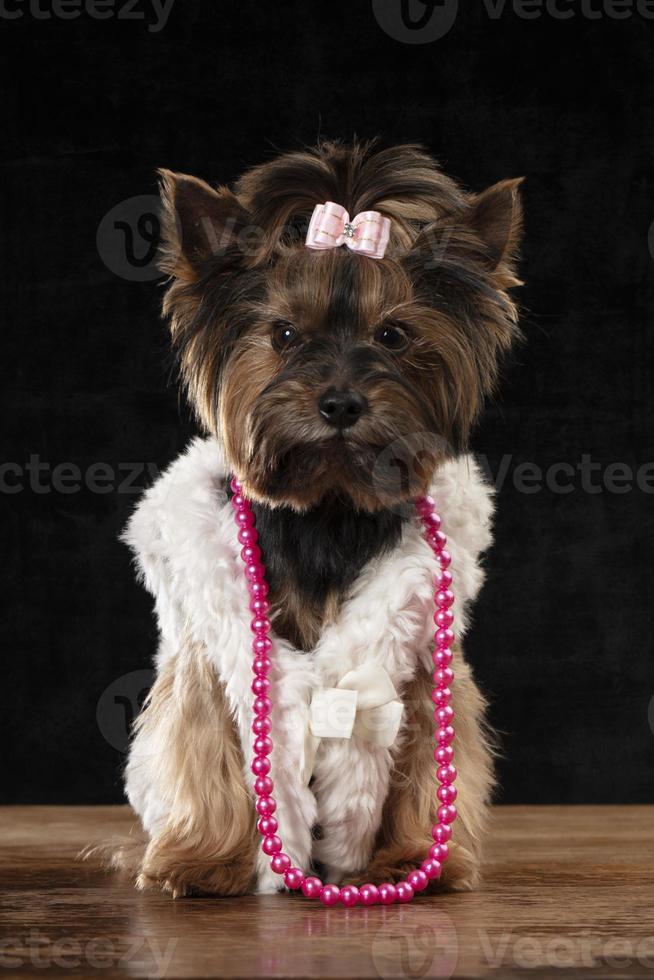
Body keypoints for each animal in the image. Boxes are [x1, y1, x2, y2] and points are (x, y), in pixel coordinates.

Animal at [118, 140, 524, 896]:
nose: (340, 402)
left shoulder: (423, 661)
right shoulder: (213, 656)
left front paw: (414, 857)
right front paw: (203, 858)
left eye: (393, 335)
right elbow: (209, 746)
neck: (330, 509)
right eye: (283, 334)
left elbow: (427, 758)